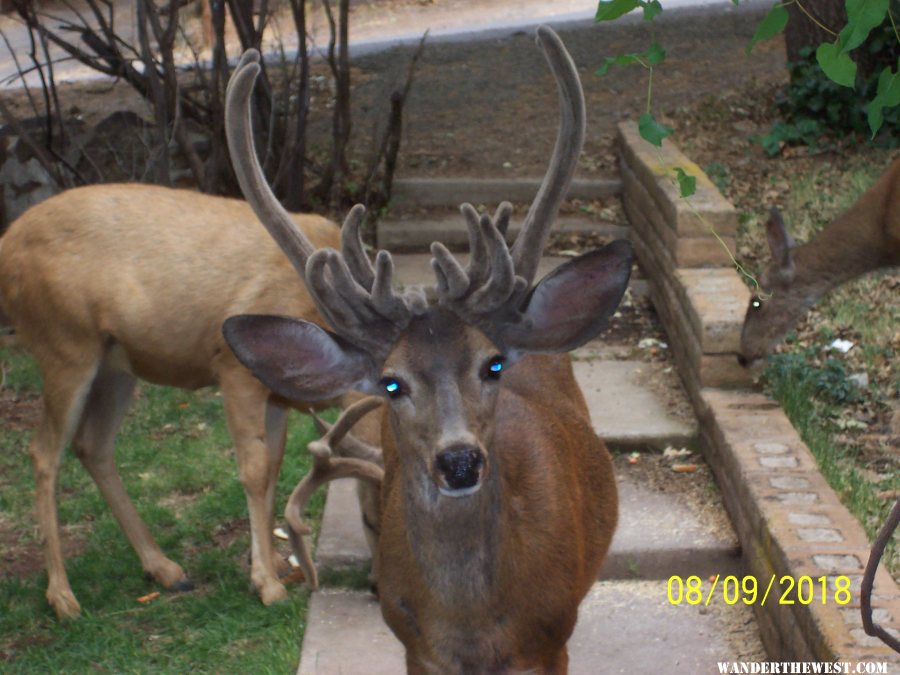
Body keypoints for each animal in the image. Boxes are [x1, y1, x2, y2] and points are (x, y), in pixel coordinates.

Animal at [0, 178, 380, 616]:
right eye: (369, 517)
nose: (378, 587)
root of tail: (5, 244)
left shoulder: (275, 397)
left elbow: (273, 464)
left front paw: (274, 565)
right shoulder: (234, 370)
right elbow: (254, 470)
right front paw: (266, 583)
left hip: (115, 364)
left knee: (92, 444)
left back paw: (164, 568)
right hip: (64, 344)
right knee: (43, 451)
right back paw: (63, 597)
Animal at [223, 25, 632, 672]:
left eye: (492, 365)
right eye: (393, 383)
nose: (460, 461)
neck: (475, 629)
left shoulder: (553, 640)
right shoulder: (416, 648)